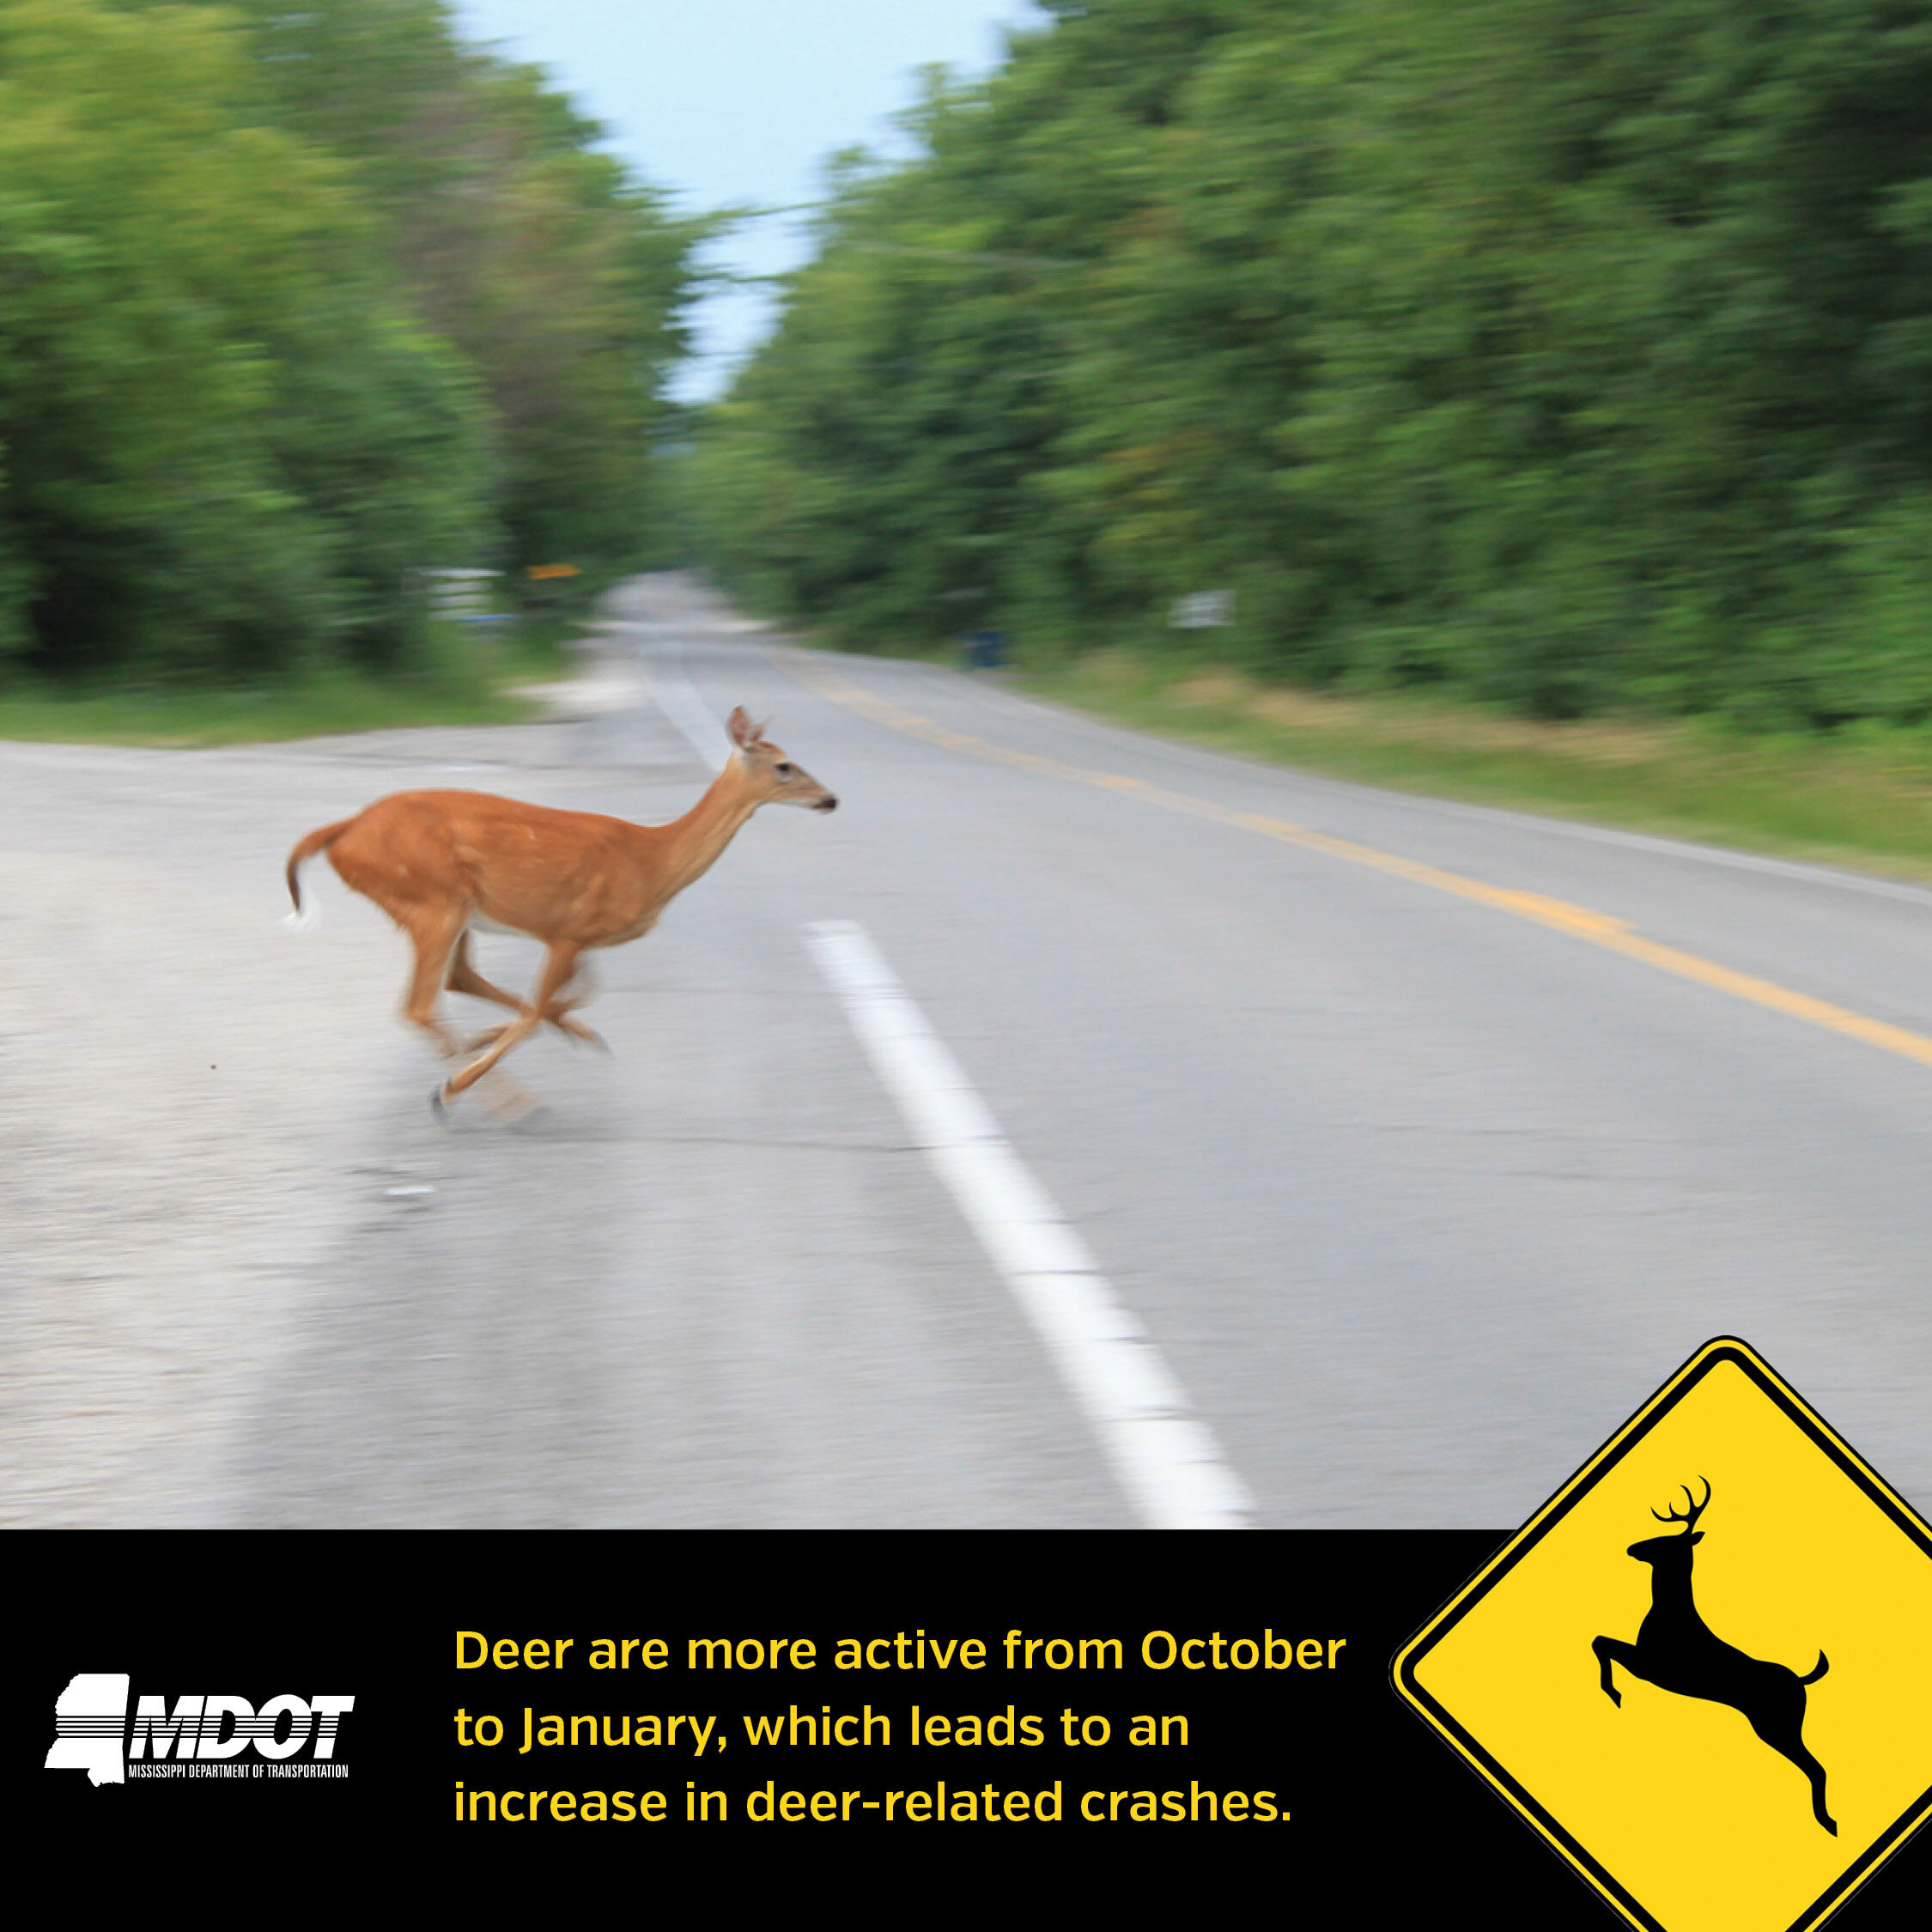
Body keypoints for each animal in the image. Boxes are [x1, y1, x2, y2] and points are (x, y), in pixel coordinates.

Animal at [284, 706, 836, 1112]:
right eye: (784, 765)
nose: (830, 799)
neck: (653, 863)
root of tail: (344, 832)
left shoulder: (580, 935)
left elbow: (577, 994)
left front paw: (572, 1031)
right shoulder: (568, 930)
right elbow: (539, 1011)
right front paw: (460, 1079)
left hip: (452, 908)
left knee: (457, 979)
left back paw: (480, 1051)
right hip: (433, 899)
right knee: (420, 1003)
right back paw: (494, 1097)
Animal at [1592, 1479, 1834, 1834]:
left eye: (1665, 1541)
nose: (1632, 1548)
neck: (1668, 1612)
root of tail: (1802, 1682)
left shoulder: (1652, 1667)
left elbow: (1601, 1642)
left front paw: (1614, 1692)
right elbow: (1601, 1641)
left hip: (1778, 1724)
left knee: (1816, 1767)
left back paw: (1827, 1822)